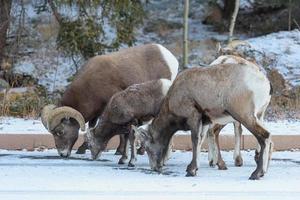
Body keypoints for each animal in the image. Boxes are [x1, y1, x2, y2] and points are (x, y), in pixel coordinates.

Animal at [41, 43, 178, 158]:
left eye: (60, 132)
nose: (62, 154)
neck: (90, 84)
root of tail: (171, 59)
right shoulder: (97, 112)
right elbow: (91, 126)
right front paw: (82, 149)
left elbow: (122, 132)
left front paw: (119, 151)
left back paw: (141, 151)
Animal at [135, 57, 274, 180]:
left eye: (147, 147)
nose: (154, 168)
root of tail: (266, 84)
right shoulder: (205, 122)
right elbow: (201, 140)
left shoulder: (194, 117)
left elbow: (195, 140)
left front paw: (191, 171)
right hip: (258, 116)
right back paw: (261, 172)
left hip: (244, 116)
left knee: (264, 136)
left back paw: (256, 174)